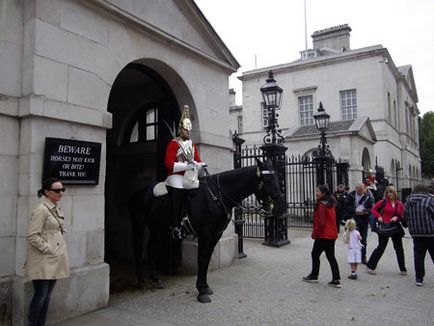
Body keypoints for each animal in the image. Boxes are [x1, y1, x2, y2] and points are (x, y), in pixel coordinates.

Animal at [129, 159, 284, 304]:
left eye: (277, 177)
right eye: (268, 180)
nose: (280, 207)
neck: (216, 196)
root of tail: (140, 192)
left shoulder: (216, 235)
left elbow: (207, 259)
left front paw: (205, 286)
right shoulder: (205, 235)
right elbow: (202, 259)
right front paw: (201, 291)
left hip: (157, 227)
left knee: (150, 248)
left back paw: (155, 279)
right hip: (140, 225)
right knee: (138, 249)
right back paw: (141, 281)